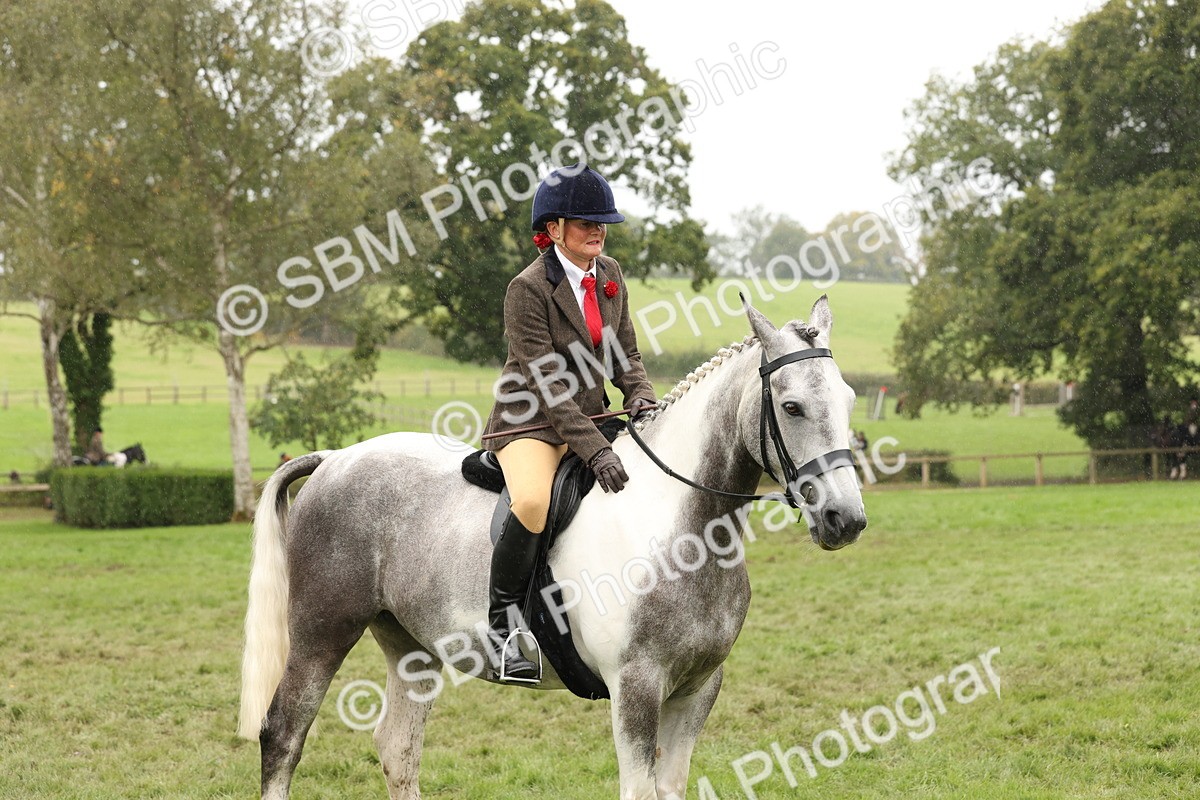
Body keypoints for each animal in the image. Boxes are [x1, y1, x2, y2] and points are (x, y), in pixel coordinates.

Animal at [237, 297, 868, 799]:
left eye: (849, 399)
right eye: (791, 407)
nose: (846, 519)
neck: (682, 528)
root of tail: (335, 460)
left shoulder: (697, 689)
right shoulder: (636, 689)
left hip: (410, 646)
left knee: (397, 750)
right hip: (322, 631)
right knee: (284, 734)